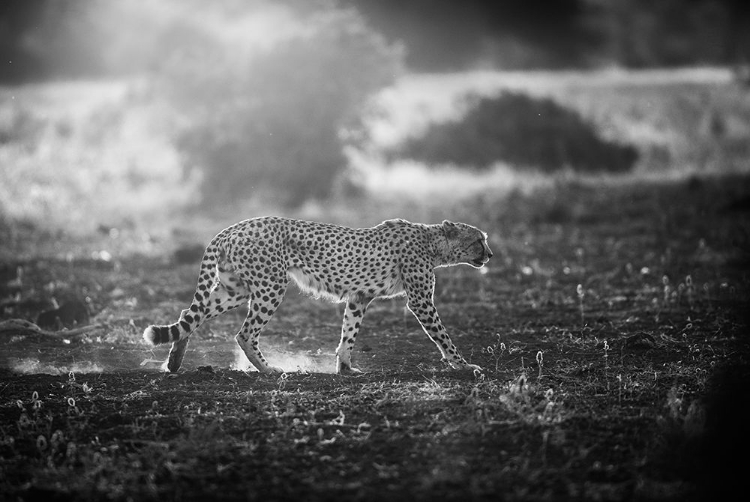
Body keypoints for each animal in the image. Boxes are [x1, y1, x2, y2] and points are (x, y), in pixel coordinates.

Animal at [142, 218, 494, 374]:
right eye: (479, 240)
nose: (490, 255)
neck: (433, 242)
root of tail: (232, 227)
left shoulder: (359, 297)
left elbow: (349, 333)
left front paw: (345, 367)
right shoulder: (420, 300)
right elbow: (442, 335)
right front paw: (463, 364)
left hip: (235, 289)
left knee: (191, 316)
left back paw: (174, 361)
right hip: (271, 285)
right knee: (244, 333)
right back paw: (269, 370)